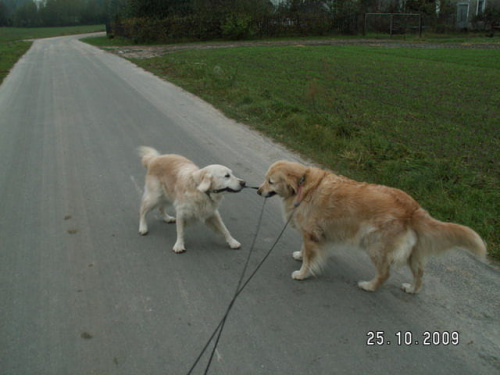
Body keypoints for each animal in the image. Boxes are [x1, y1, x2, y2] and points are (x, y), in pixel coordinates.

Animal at [260, 161, 486, 294]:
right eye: (265, 179)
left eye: (270, 181)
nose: (258, 191)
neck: (303, 185)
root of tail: (413, 208)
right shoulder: (313, 234)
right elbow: (306, 251)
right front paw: (300, 255)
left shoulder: (311, 234)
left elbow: (310, 258)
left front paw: (302, 273)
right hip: (412, 253)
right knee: (420, 273)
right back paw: (412, 289)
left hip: (375, 245)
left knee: (385, 274)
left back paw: (369, 286)